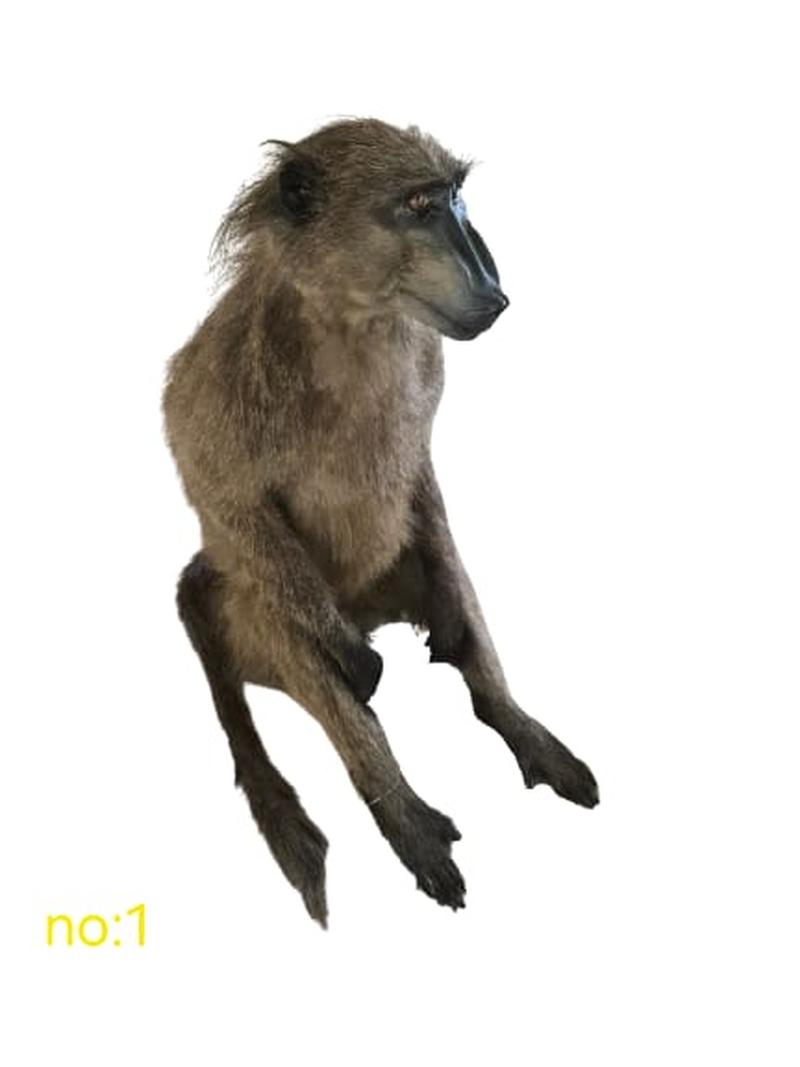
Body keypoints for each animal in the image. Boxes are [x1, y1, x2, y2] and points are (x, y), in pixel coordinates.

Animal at [162, 118, 598, 927]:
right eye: (417, 206)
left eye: (454, 197)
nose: (492, 288)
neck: (350, 325)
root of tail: (366, 610)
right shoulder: (214, 399)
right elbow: (236, 508)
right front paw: (357, 677)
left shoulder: (425, 369)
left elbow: (422, 487)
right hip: (247, 613)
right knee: (288, 640)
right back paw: (403, 815)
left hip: (399, 580)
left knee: (457, 613)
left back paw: (522, 730)